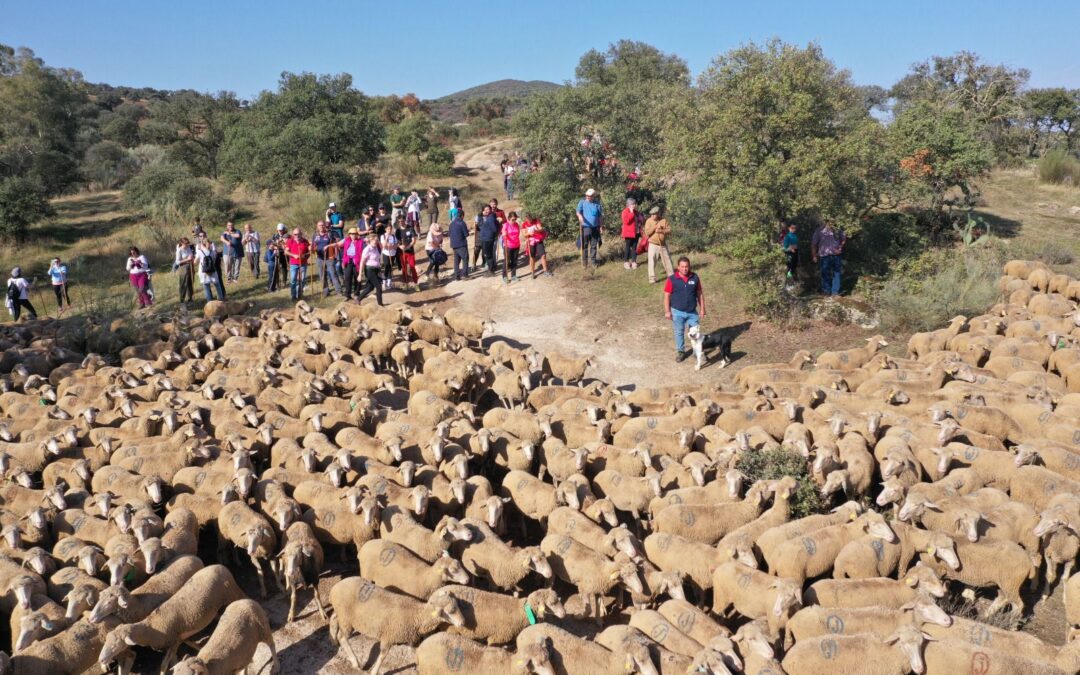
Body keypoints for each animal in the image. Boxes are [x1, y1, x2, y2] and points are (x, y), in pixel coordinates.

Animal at [95, 561, 245, 673]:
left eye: (116, 644)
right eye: (106, 639)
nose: (101, 659)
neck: (151, 628)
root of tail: (218, 565)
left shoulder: (173, 642)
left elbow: (163, 666)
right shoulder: (177, 639)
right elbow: (177, 657)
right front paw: (197, 648)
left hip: (232, 591)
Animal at [326, 574, 466, 673]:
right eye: (451, 610)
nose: (463, 622)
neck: (417, 615)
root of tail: (335, 587)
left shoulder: (410, 638)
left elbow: (415, 653)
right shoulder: (389, 636)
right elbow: (383, 655)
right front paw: (374, 671)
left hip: (342, 614)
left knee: (333, 618)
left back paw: (332, 639)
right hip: (347, 619)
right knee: (342, 637)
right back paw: (355, 662)